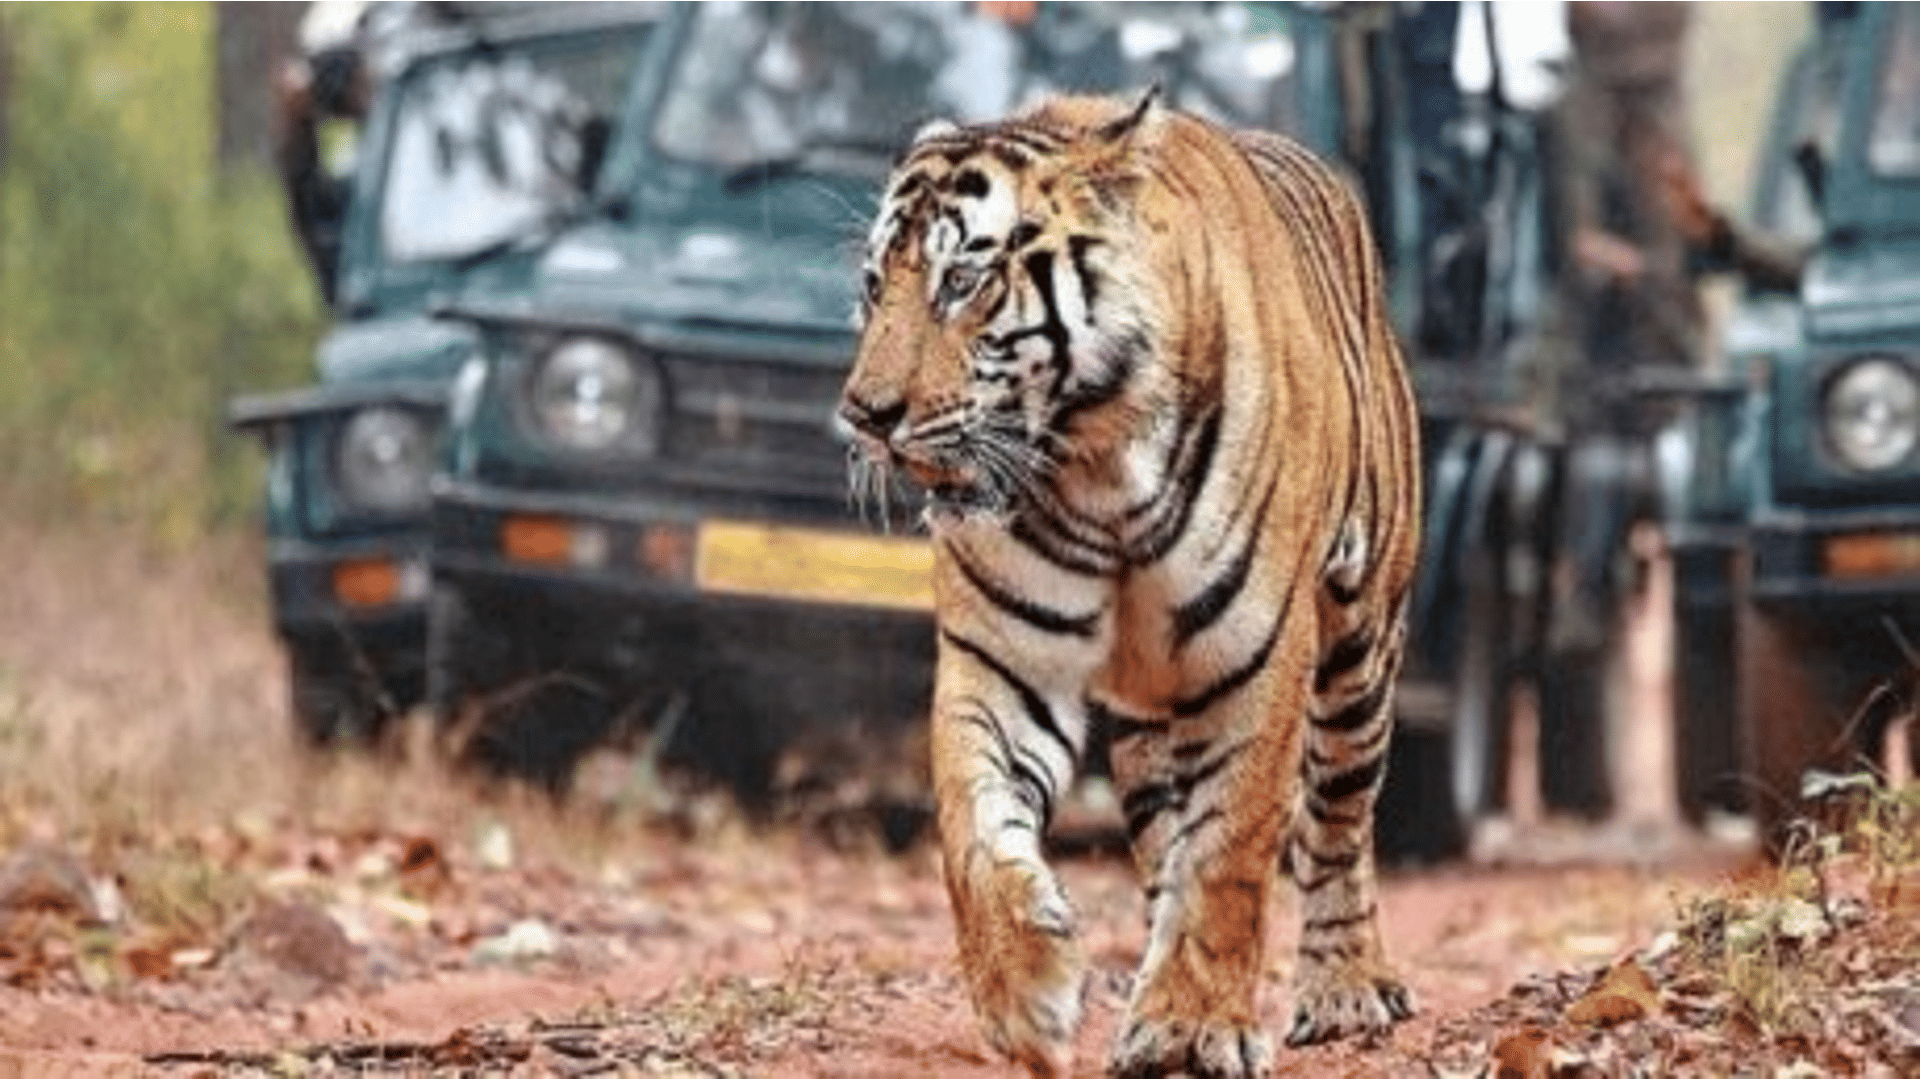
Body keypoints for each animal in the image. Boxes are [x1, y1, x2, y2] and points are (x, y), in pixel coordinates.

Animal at [837, 89, 1421, 1079]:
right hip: (1154, 718)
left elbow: (1232, 849)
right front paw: (1027, 995)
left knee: (1340, 820)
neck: (1092, 464)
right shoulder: (1002, 662)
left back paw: (1344, 990)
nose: (864, 416)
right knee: (1163, 846)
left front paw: (1200, 1023)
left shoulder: (1256, 657)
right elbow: (973, 827)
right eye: (877, 287)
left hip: (1360, 646)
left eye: (961, 282)